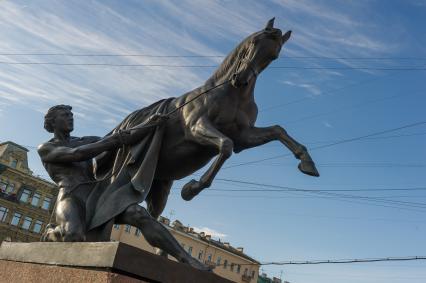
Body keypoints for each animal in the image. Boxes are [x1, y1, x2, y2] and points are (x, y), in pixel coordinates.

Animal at [141, 18, 318, 220]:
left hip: (160, 185)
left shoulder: (243, 137)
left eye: (274, 56)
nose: (240, 79)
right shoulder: (195, 127)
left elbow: (277, 130)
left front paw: (307, 163)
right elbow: (226, 146)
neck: (233, 94)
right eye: (254, 42)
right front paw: (190, 189)